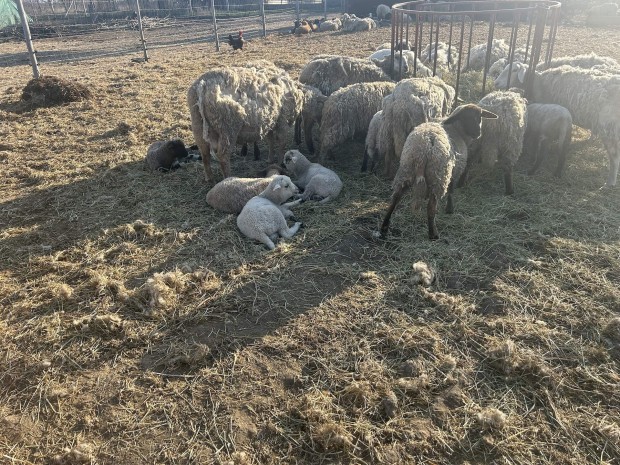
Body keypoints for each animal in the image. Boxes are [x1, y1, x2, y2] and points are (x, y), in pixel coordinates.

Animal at [380, 104, 498, 240]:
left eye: (480, 117)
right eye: (467, 117)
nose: (478, 133)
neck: (457, 130)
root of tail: (424, 147)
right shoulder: (456, 169)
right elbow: (451, 190)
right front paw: (450, 209)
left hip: (406, 169)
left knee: (395, 199)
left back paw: (384, 227)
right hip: (439, 175)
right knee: (431, 206)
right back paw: (433, 233)